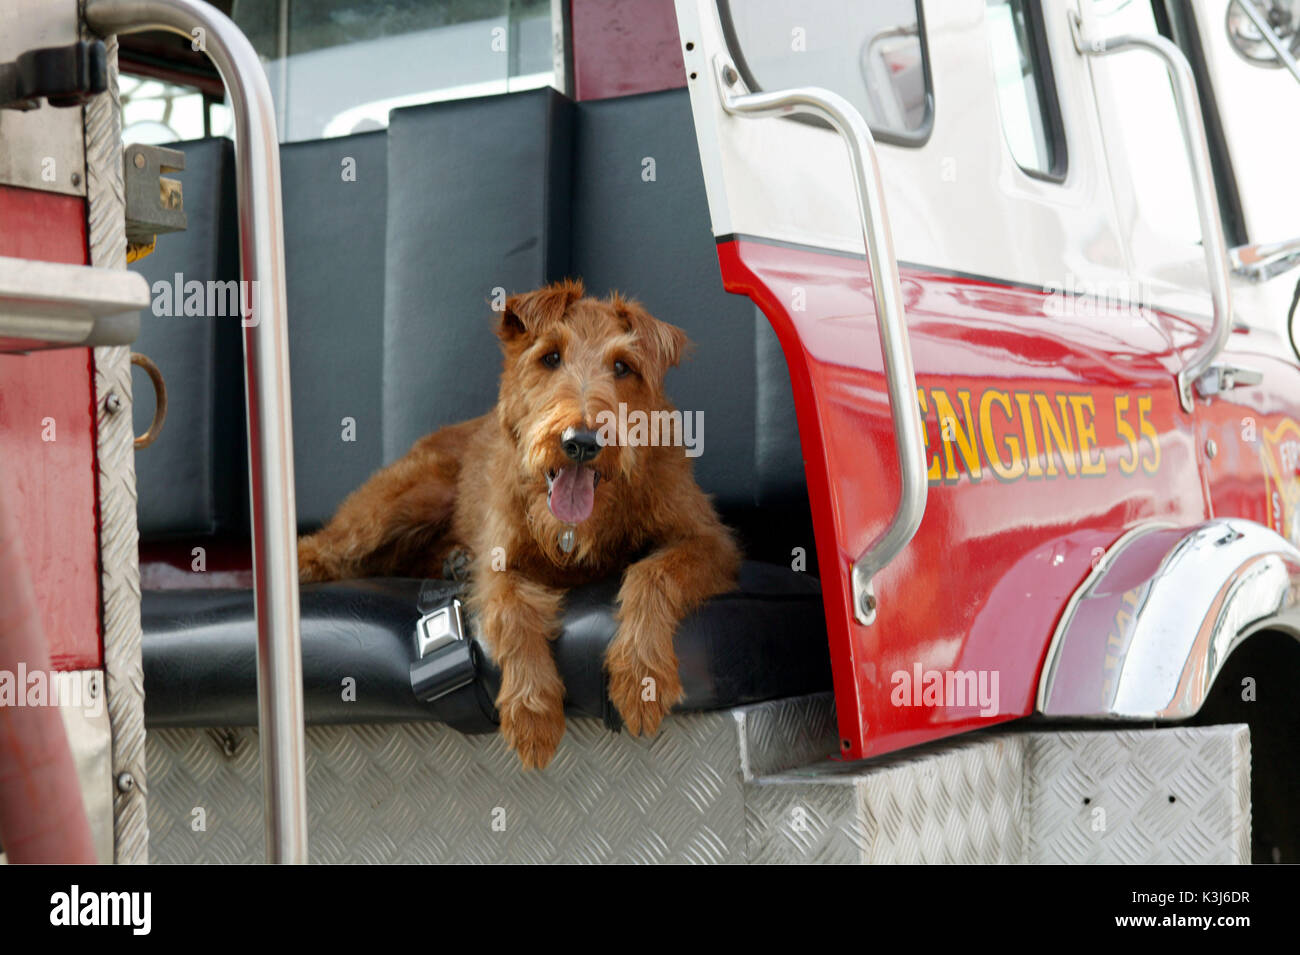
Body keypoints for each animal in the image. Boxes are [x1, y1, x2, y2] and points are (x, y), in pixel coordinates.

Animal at [297, 280, 743, 774]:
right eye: (550, 357)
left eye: (622, 367)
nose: (581, 442)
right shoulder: (500, 565)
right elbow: (512, 613)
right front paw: (533, 714)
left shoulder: (706, 539)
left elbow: (651, 573)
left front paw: (641, 678)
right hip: (406, 498)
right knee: (325, 544)